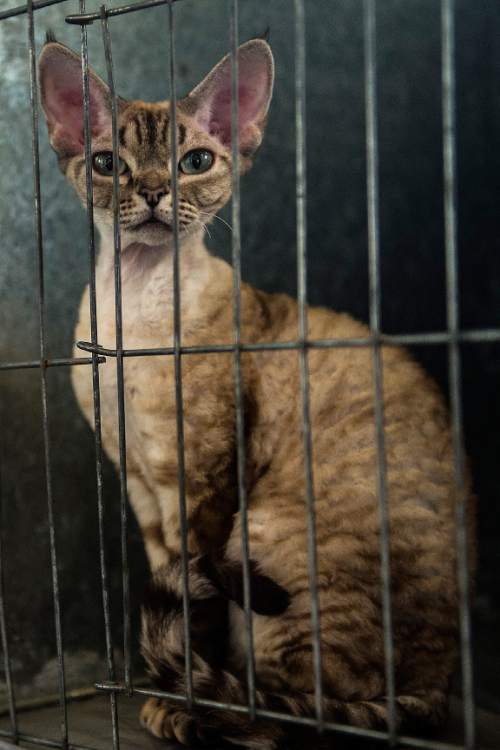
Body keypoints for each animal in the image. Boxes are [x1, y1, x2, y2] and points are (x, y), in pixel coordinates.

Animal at [39, 35, 472, 750]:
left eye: (194, 162)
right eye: (108, 164)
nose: (153, 192)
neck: (134, 317)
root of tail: (439, 688)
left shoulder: (203, 481)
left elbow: (201, 604)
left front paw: (179, 694)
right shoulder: (138, 482)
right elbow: (170, 573)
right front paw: (172, 683)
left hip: (264, 534)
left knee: (300, 713)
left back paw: (214, 710)